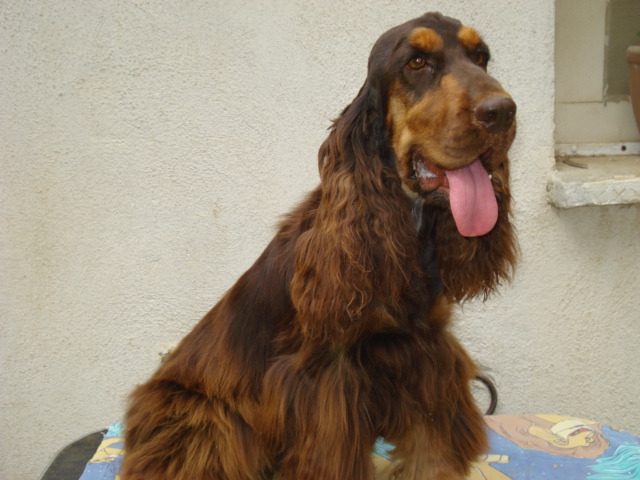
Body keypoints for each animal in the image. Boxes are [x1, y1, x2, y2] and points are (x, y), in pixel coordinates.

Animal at [122, 12, 517, 480]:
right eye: (417, 62)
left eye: (482, 57)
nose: (502, 112)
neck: (404, 225)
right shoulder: (326, 380)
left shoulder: (427, 354)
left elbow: (430, 447)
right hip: (203, 419)